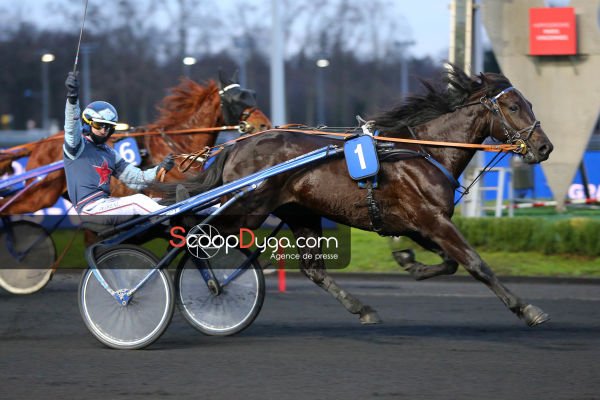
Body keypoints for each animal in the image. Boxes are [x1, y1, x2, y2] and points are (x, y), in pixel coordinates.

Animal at [0, 72, 272, 216]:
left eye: (252, 95)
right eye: (237, 100)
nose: (264, 124)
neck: (178, 144)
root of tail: (42, 142)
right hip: (40, 194)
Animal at [168, 65, 552, 326]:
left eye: (531, 103)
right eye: (514, 107)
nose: (545, 147)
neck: (424, 151)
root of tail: (235, 147)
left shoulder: (420, 223)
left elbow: (449, 262)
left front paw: (409, 263)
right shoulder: (432, 219)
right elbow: (475, 263)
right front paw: (526, 309)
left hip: (301, 212)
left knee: (314, 269)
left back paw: (362, 308)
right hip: (248, 209)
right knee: (195, 236)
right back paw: (205, 285)